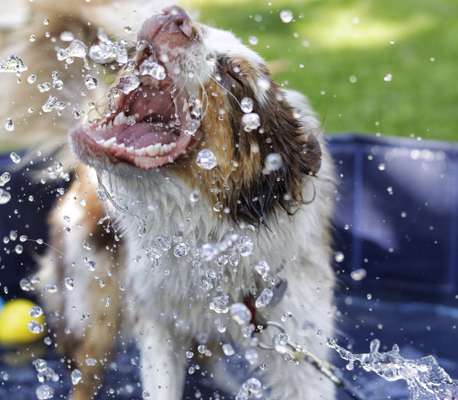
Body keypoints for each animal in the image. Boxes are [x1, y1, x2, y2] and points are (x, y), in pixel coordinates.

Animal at [2, 1, 336, 398]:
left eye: (233, 75)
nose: (174, 16)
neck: (214, 245)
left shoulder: (300, 337)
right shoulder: (158, 319)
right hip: (94, 300)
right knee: (87, 373)